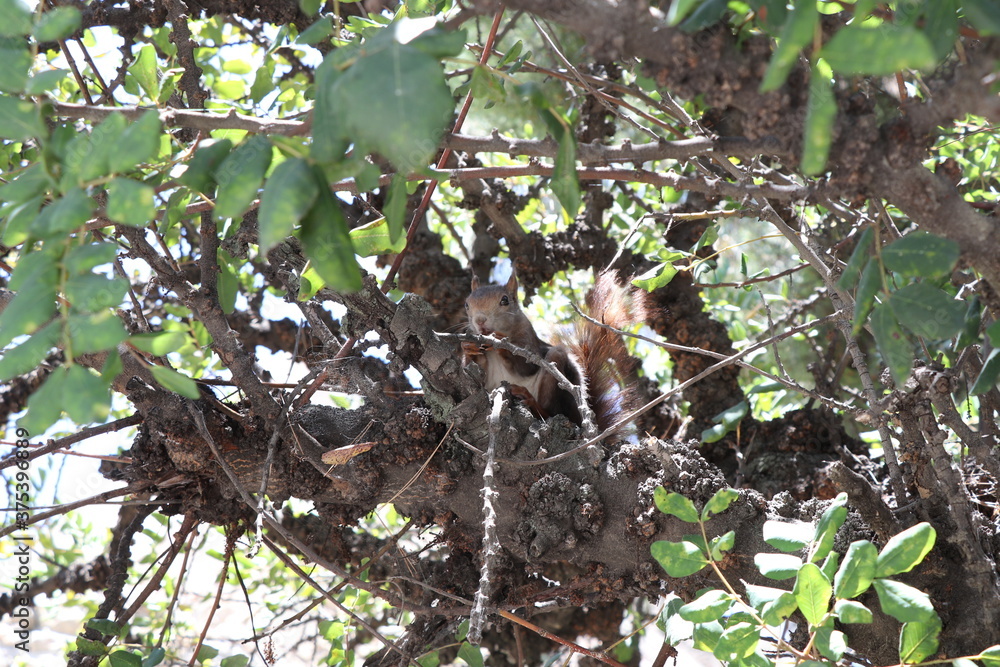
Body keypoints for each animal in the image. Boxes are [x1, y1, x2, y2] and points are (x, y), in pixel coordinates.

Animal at [462, 270, 648, 433]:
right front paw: (468, 347)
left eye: (505, 300)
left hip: (557, 380)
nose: (480, 320)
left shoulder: (529, 341)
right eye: (466, 304)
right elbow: (478, 374)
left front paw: (501, 342)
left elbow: (525, 366)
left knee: (552, 411)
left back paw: (531, 401)